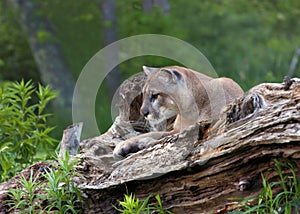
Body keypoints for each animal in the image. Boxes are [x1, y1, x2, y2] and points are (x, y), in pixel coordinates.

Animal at [112, 65, 244, 159]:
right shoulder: (176, 129)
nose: (143, 112)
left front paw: (143, 144)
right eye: (143, 94)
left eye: (155, 95)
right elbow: (152, 134)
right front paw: (123, 146)